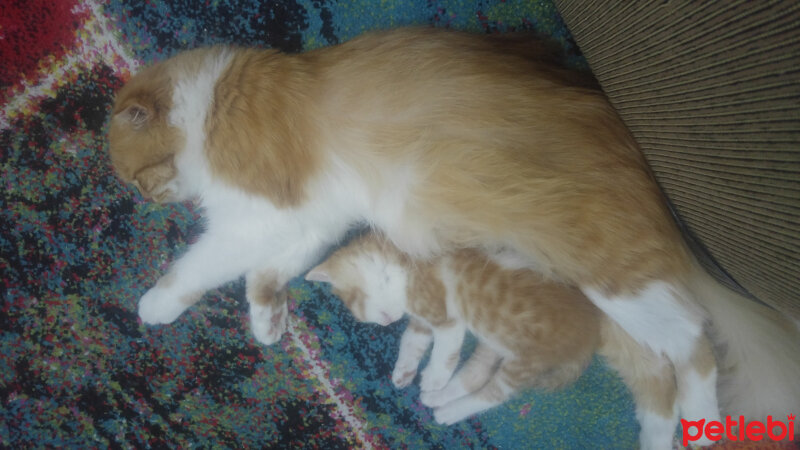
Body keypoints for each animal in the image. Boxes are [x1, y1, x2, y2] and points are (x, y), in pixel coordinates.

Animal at [306, 232, 680, 440]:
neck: (405, 261)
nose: (385, 322)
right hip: (499, 343)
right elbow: (413, 339)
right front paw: (405, 371)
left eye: (356, 304)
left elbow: (446, 346)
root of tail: (590, 332)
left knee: (495, 394)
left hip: (528, 359)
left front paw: (435, 375)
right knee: (478, 373)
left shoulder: (443, 312)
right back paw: (440, 399)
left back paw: (446, 408)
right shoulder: (422, 319)